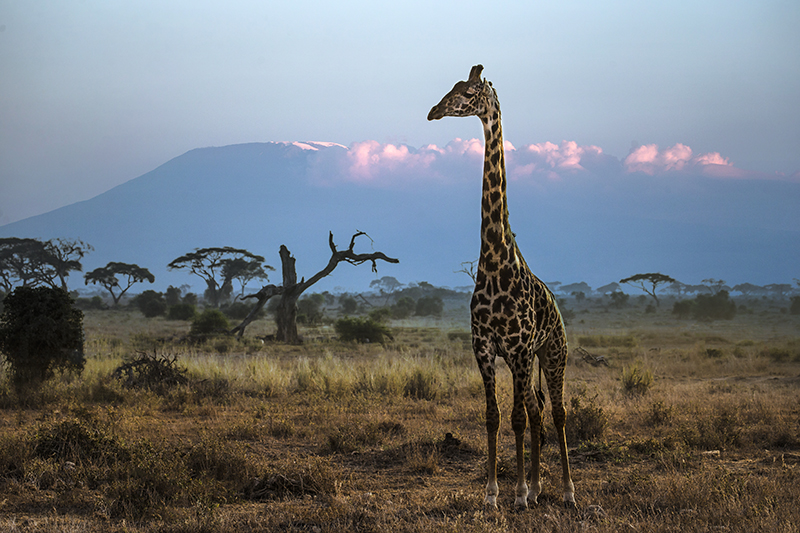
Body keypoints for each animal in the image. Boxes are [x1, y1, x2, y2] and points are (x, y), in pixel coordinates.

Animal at [424, 64, 576, 510]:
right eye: (453, 87)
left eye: (470, 92)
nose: (434, 111)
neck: (494, 260)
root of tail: (557, 308)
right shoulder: (486, 346)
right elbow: (494, 417)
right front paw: (493, 494)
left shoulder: (520, 348)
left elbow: (516, 419)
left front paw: (519, 494)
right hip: (526, 359)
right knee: (538, 409)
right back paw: (540, 487)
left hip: (553, 353)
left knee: (556, 411)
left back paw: (565, 490)